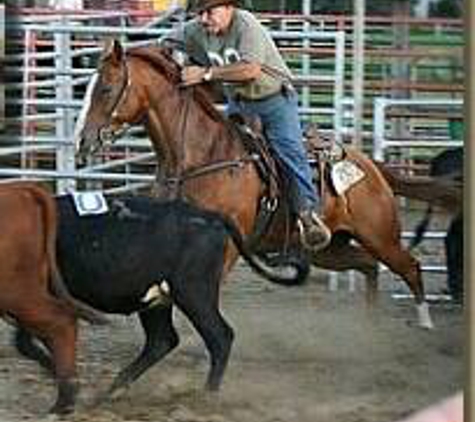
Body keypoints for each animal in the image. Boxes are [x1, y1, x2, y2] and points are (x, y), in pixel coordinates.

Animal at [76, 38, 434, 330]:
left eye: (106, 89)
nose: (82, 141)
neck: (199, 156)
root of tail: (372, 167)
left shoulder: (226, 247)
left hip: (380, 236)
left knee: (410, 268)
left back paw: (424, 323)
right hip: (329, 247)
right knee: (369, 266)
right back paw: (369, 324)